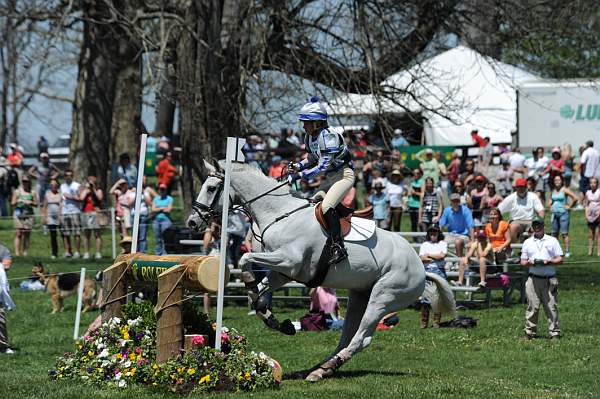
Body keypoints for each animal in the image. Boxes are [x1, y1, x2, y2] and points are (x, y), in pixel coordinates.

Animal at [188, 161, 454, 382]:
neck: (278, 213)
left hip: (383, 297)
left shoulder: (289, 261)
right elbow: (257, 295)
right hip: (360, 295)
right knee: (347, 336)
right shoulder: (283, 272)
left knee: (361, 339)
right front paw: (277, 321)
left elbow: (245, 259)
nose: (192, 222)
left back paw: (321, 371)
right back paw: (319, 368)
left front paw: (257, 293)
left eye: (211, 188)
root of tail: (421, 268)